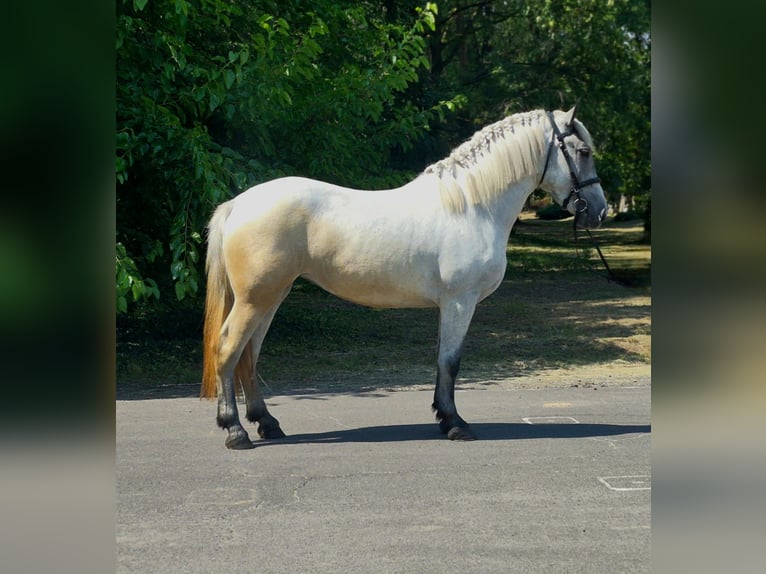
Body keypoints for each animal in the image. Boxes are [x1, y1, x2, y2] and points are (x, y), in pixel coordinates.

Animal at [200, 106, 607, 449]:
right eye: (583, 151)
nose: (599, 210)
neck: (472, 207)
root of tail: (239, 203)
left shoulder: (448, 305)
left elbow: (442, 360)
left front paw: (444, 418)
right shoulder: (460, 302)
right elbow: (451, 362)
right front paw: (456, 425)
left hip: (272, 296)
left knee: (249, 356)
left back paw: (267, 423)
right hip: (256, 299)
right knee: (228, 350)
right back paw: (235, 431)